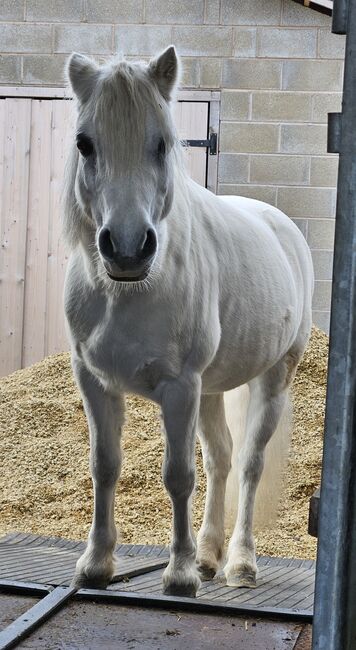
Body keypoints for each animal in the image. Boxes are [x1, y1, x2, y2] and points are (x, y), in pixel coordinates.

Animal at [62, 44, 312, 592]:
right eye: (84, 144)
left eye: (163, 143)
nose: (127, 249)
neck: (130, 292)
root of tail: (280, 225)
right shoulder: (95, 382)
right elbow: (104, 466)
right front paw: (96, 563)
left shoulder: (179, 388)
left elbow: (178, 475)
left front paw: (178, 574)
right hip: (212, 389)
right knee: (220, 458)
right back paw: (209, 555)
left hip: (272, 379)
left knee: (248, 465)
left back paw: (239, 562)